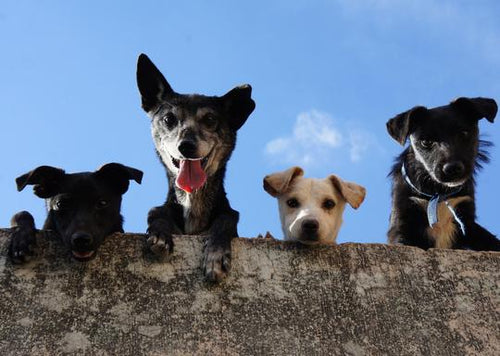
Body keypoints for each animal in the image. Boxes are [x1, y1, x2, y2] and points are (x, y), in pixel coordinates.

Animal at [136, 53, 256, 280]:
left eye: (209, 119)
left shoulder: (228, 216)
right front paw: (160, 234)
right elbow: (156, 212)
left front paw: (216, 255)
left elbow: (226, 219)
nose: (186, 146)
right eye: (169, 119)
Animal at [386, 96, 500, 249]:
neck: (439, 193)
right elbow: (402, 241)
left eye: (463, 133)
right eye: (426, 142)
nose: (452, 168)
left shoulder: (466, 221)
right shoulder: (402, 220)